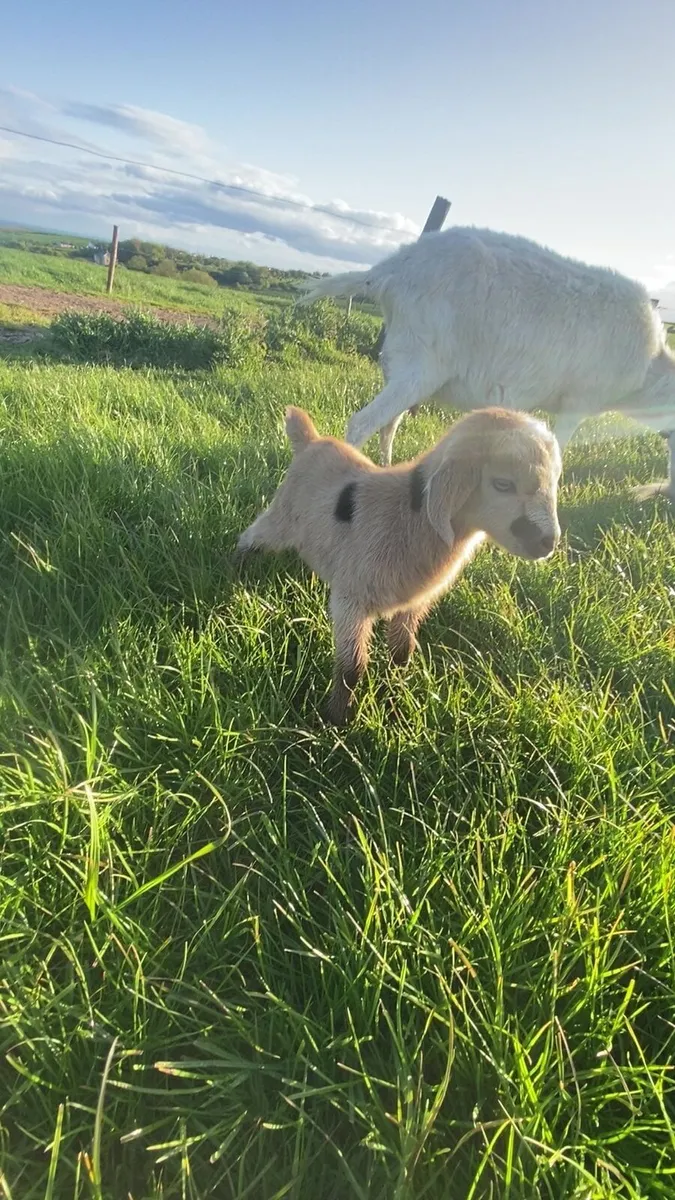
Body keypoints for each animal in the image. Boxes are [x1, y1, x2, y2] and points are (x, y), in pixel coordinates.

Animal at [237, 405, 561, 725]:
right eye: (503, 484)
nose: (549, 542)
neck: (410, 515)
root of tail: (311, 441)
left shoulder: (412, 603)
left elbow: (402, 650)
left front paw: (397, 688)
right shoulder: (351, 601)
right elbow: (352, 668)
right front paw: (336, 721)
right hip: (280, 519)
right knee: (250, 536)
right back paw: (236, 568)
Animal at [299, 226, 675, 494]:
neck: (649, 373)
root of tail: (389, 270)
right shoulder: (578, 401)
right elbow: (557, 451)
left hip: (407, 366)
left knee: (388, 423)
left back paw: (385, 470)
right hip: (421, 363)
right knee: (362, 423)